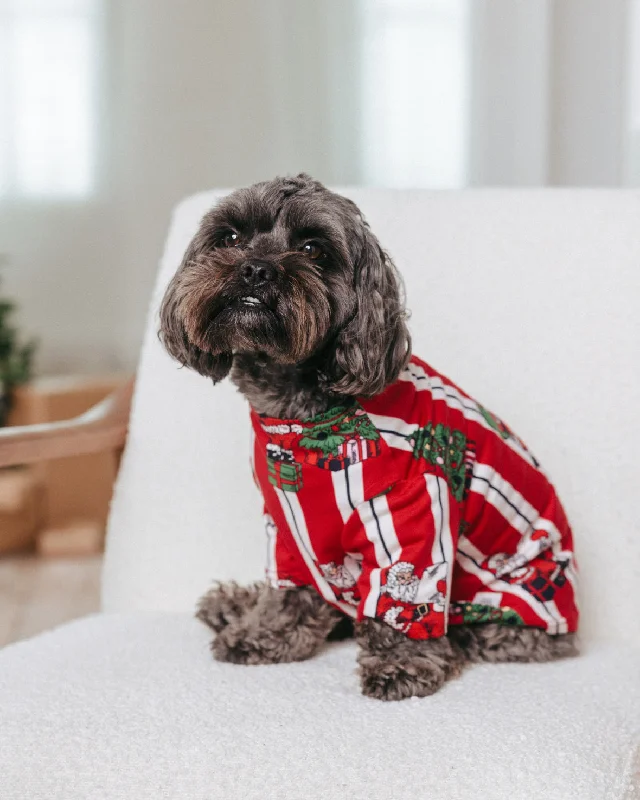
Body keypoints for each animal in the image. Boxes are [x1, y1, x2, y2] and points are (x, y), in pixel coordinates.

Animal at [160, 175, 580, 700]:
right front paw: (264, 632)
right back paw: (234, 603)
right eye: (231, 237)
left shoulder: (415, 512)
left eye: (313, 249)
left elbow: (404, 596)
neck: (304, 420)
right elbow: (290, 588)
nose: (256, 269)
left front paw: (401, 661)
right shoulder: (287, 522)